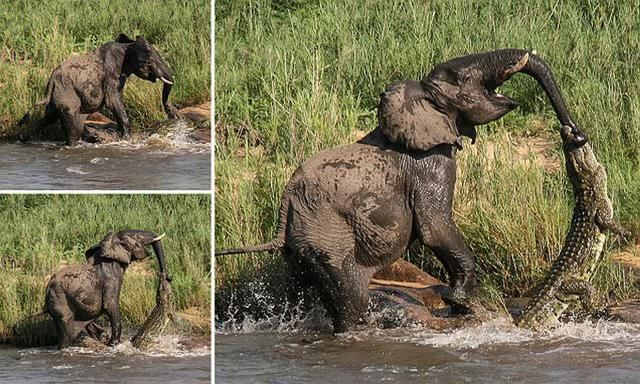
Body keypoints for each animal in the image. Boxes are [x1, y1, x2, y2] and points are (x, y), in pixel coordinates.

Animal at [18, 33, 179, 146]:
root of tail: (50, 82)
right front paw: (125, 139)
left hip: (58, 96)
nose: (173, 114)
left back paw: (22, 138)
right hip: (66, 94)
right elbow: (113, 101)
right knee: (71, 123)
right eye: (148, 62)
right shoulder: (111, 73)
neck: (127, 46)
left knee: (50, 117)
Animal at [219, 48, 584, 332]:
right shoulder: (431, 164)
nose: (574, 134)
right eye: (460, 77)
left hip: (303, 242)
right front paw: (464, 303)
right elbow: (435, 228)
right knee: (351, 297)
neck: (419, 98)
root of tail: (286, 203)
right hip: (326, 233)